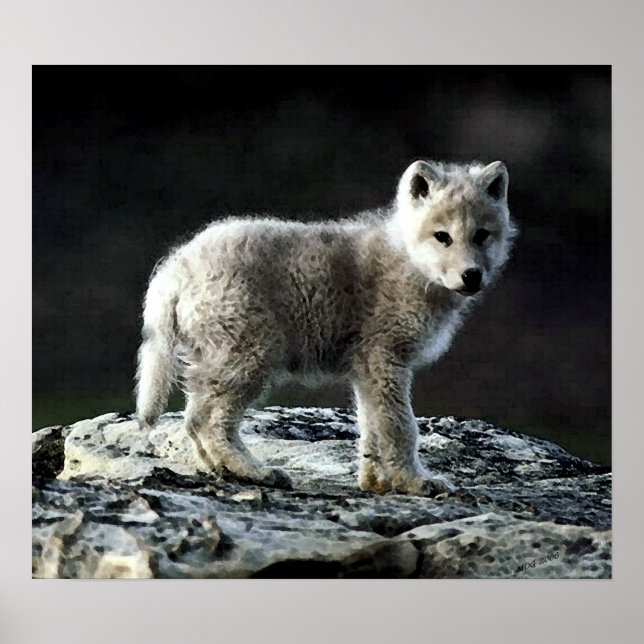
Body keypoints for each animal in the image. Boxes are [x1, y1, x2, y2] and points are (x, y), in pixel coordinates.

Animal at [135, 160, 517, 495]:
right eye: (442, 237)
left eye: (482, 236)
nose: (471, 276)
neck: (408, 263)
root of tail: (177, 266)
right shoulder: (385, 359)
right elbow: (399, 427)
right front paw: (415, 482)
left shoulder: (367, 370)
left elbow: (371, 428)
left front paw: (376, 483)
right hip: (251, 356)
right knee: (210, 422)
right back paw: (255, 472)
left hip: (223, 359)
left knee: (194, 418)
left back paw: (224, 469)